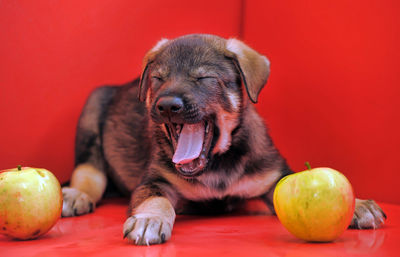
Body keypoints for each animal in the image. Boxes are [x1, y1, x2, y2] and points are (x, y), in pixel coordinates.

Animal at [61, 34, 386, 244]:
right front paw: (149, 219)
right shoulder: (154, 180)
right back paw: (76, 195)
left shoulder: (274, 177)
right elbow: (155, 199)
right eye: (158, 79)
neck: (217, 165)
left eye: (203, 79)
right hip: (92, 113)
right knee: (89, 174)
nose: (166, 106)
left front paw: (357, 205)